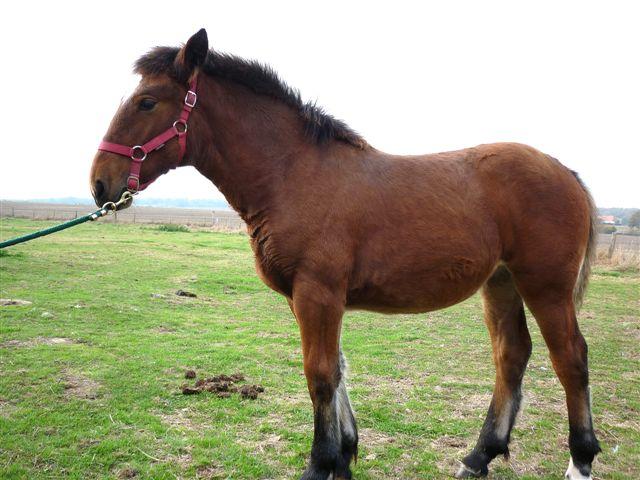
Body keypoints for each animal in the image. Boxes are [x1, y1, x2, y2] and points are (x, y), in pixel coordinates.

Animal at [89, 30, 600, 480]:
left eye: (147, 102)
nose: (99, 184)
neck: (293, 175)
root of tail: (566, 172)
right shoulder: (306, 299)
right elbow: (336, 369)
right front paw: (344, 456)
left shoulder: (319, 294)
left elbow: (319, 374)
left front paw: (320, 463)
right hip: (501, 283)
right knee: (511, 355)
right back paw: (478, 457)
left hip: (546, 286)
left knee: (570, 357)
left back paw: (580, 460)